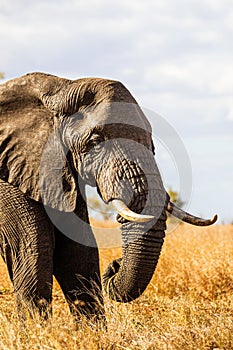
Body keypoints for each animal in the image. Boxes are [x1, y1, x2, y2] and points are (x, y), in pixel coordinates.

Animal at [0, 72, 217, 322]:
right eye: (95, 143)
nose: (115, 264)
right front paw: (37, 330)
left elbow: (78, 249)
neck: (57, 91)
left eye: (152, 144)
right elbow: (34, 246)